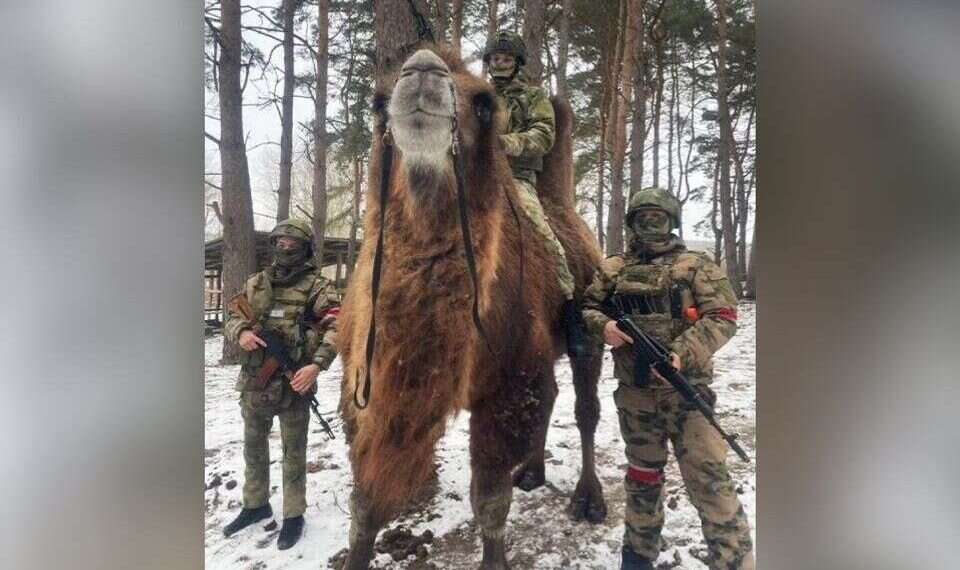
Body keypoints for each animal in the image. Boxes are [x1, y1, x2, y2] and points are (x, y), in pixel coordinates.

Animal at [336, 46, 606, 569]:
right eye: (377, 103)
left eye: (484, 104)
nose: (421, 68)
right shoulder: (365, 387)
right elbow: (365, 504)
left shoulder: (505, 384)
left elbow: (490, 500)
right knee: (552, 397)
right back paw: (533, 471)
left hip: (594, 330)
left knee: (586, 408)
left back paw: (589, 498)